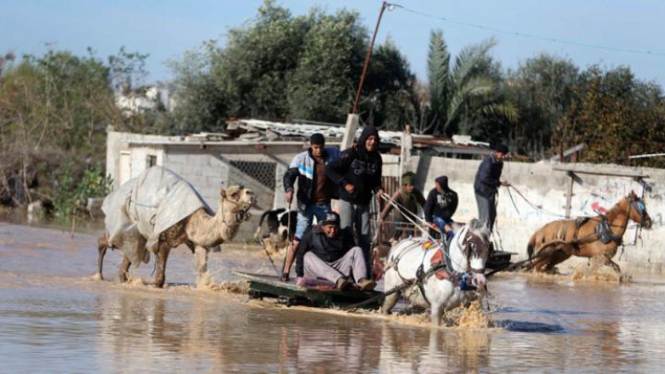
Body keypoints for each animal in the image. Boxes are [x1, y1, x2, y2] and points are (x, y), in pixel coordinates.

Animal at [96, 186, 254, 288]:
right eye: (234, 194)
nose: (251, 193)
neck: (192, 220)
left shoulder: (198, 243)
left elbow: (203, 272)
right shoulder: (165, 239)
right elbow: (159, 279)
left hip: (137, 234)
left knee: (128, 257)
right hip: (127, 222)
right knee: (106, 241)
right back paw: (99, 276)